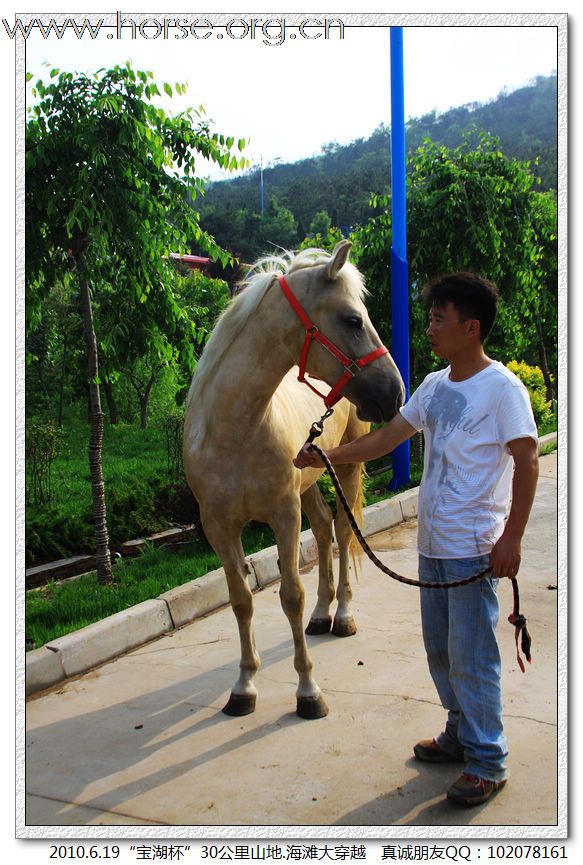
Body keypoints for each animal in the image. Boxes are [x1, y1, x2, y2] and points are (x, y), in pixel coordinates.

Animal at [184, 240, 406, 720]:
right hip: (309, 484)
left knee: (342, 532)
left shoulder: (283, 515)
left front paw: (308, 691)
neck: (235, 430)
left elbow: (290, 596)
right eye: (352, 319)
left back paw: (342, 615)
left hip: (345, 471)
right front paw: (244, 685)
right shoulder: (219, 527)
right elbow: (242, 599)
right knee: (323, 530)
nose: (394, 393)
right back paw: (322, 615)